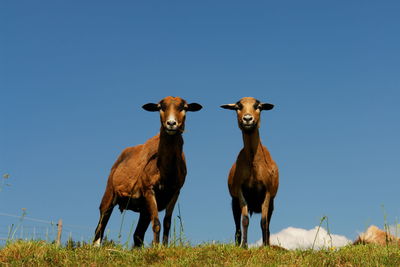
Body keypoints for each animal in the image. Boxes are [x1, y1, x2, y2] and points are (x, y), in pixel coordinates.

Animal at [92, 96, 202, 247]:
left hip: (143, 208)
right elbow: (156, 224)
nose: (171, 124)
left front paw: (164, 246)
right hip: (110, 193)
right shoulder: (149, 189)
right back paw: (96, 246)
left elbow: (167, 223)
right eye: (161, 107)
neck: (166, 171)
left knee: (137, 234)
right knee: (100, 225)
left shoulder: (175, 192)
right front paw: (156, 247)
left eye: (184, 108)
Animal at [220, 97, 280, 248]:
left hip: (272, 203)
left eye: (258, 106)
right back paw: (237, 243)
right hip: (234, 202)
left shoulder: (267, 192)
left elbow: (264, 222)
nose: (247, 119)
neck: (254, 164)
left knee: (268, 223)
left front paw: (265, 246)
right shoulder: (240, 190)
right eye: (238, 107)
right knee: (237, 225)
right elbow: (245, 220)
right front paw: (244, 246)